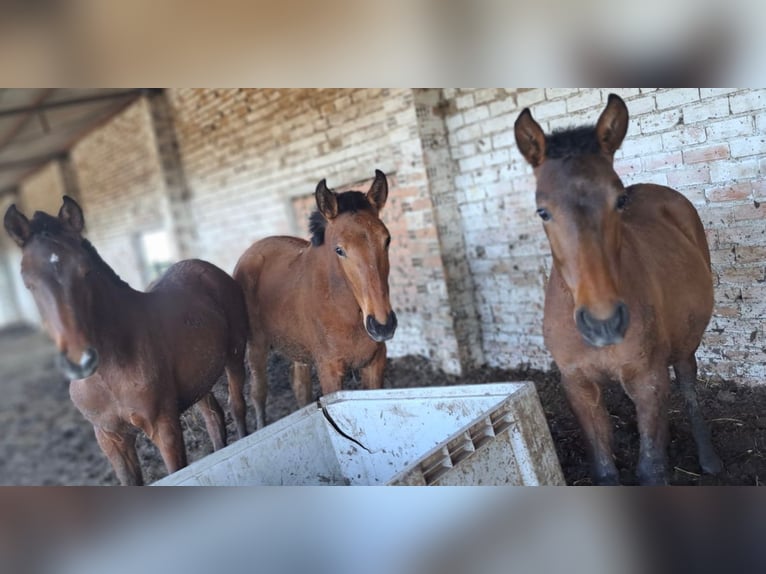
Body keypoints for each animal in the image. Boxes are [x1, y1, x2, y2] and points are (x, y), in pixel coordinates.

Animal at [3, 197, 249, 485]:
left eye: (85, 271)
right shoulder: (110, 437)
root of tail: (207, 268)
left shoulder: (164, 427)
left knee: (237, 406)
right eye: (28, 282)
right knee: (213, 417)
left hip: (235, 354)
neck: (109, 371)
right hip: (199, 381)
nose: (79, 361)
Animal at [233, 169, 397, 429]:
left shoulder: (375, 363)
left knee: (300, 388)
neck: (346, 313)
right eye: (339, 250)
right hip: (256, 345)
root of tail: (253, 250)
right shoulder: (329, 370)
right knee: (258, 393)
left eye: (387, 240)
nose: (382, 325)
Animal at [514, 94, 722, 485]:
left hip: (686, 343)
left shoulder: (649, 379)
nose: (604, 323)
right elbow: (605, 469)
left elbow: (652, 468)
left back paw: (708, 458)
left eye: (619, 201)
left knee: (688, 386)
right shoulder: (578, 385)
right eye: (542, 212)